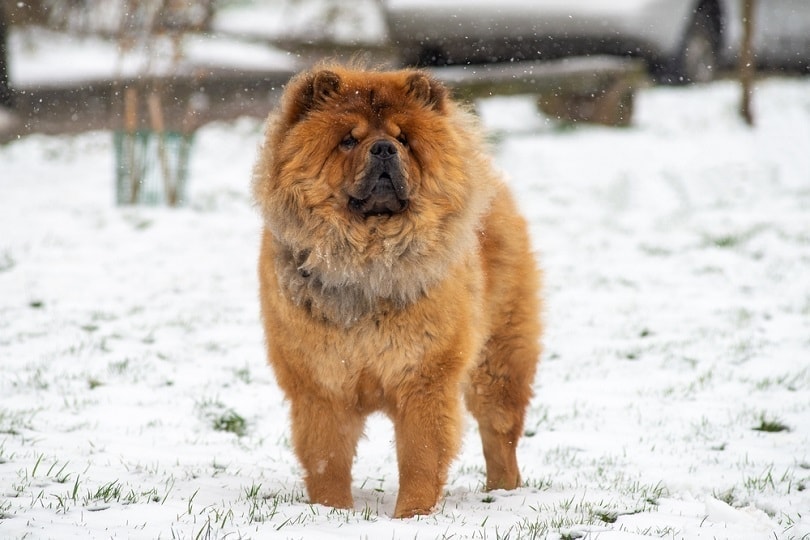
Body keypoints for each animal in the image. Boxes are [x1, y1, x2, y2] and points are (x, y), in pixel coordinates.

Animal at [251, 64, 544, 520]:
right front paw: (332, 514)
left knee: (500, 434)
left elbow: (421, 456)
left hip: (497, 364)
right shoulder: (322, 384)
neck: (368, 259)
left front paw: (412, 516)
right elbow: (327, 460)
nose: (385, 149)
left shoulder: (424, 377)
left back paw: (502, 494)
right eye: (348, 140)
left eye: (404, 138)